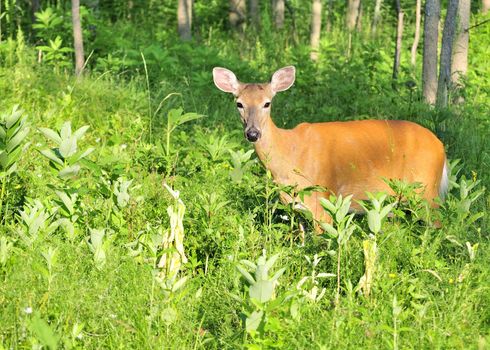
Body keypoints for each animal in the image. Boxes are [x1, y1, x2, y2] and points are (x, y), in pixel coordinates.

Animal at [212, 66, 448, 227]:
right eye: (239, 103)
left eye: (267, 103)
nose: (253, 133)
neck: (289, 154)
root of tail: (440, 146)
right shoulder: (295, 206)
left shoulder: (322, 199)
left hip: (427, 191)